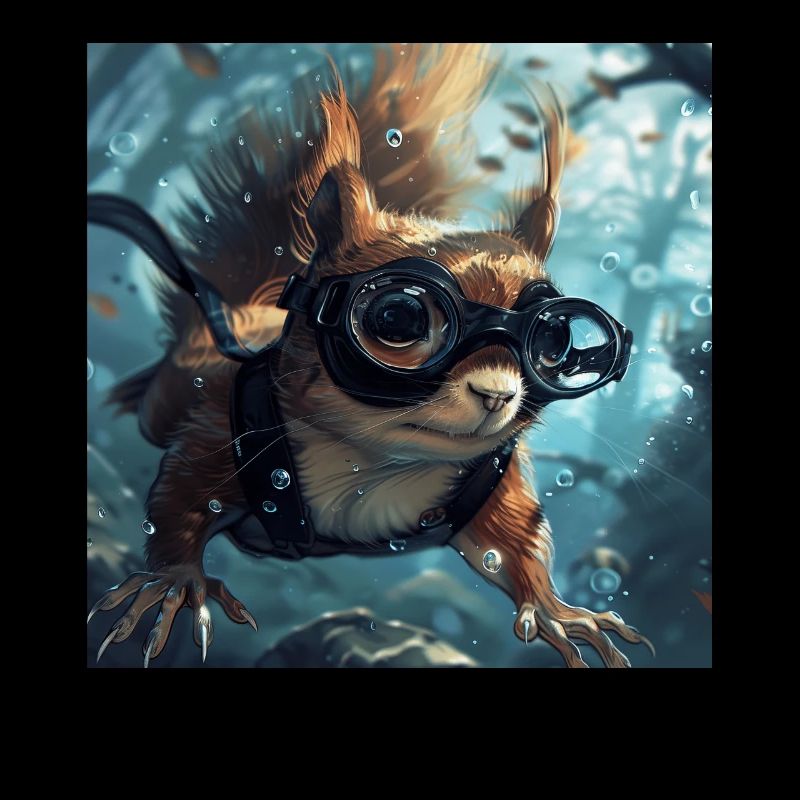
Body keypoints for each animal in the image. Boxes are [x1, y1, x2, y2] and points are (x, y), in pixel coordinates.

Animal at [87, 43, 652, 668]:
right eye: (398, 319)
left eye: (556, 342)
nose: (497, 395)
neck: (380, 463)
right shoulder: (217, 436)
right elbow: (179, 501)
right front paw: (175, 585)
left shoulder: (493, 489)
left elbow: (516, 543)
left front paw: (557, 611)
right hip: (175, 395)